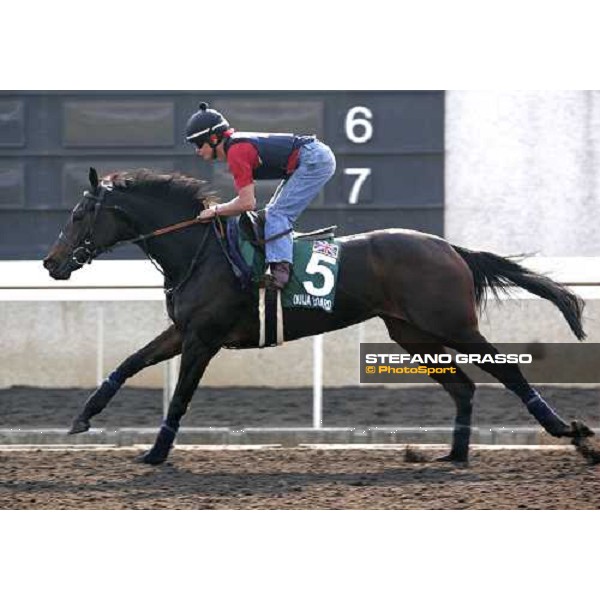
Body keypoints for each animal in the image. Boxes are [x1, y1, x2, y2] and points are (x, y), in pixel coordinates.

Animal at [41, 166, 596, 466]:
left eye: (78, 214)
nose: (50, 262)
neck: (200, 249)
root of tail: (450, 246)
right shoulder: (184, 330)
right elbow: (130, 363)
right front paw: (83, 417)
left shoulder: (204, 338)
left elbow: (179, 398)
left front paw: (156, 453)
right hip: (411, 332)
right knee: (463, 387)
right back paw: (453, 454)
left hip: (452, 325)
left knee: (507, 371)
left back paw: (568, 432)